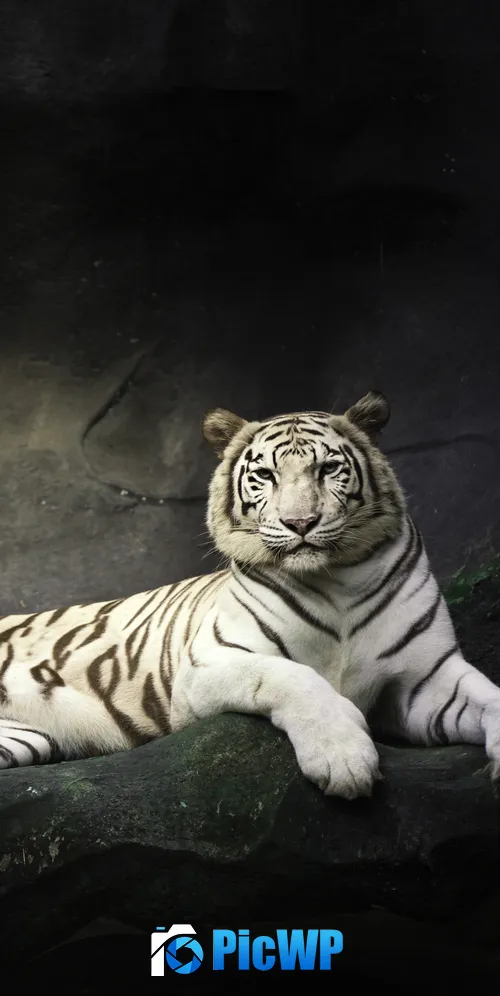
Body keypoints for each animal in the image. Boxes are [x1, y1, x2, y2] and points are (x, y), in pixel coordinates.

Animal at [1, 389, 500, 801]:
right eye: (265, 475)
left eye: (328, 469)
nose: (301, 522)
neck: (337, 580)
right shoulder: (207, 664)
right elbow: (294, 677)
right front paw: (343, 758)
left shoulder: (426, 677)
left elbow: (490, 698)